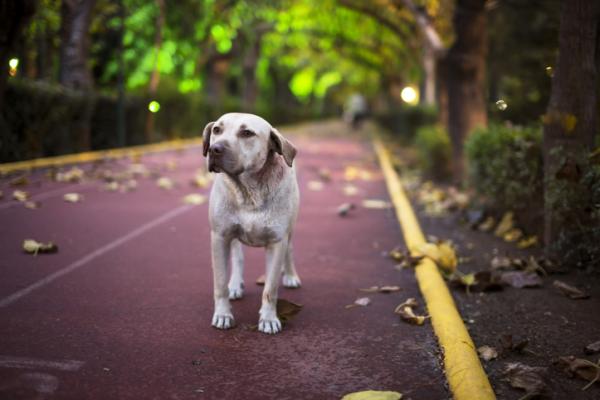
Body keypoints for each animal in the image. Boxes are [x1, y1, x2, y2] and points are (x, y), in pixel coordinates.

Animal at [204, 112, 302, 334]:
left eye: (247, 133)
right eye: (217, 130)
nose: (214, 149)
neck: (248, 192)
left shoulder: (277, 242)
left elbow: (270, 289)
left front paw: (268, 318)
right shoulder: (219, 237)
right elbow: (220, 283)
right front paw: (223, 314)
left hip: (291, 229)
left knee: (291, 250)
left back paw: (290, 275)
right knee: (237, 257)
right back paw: (235, 285)